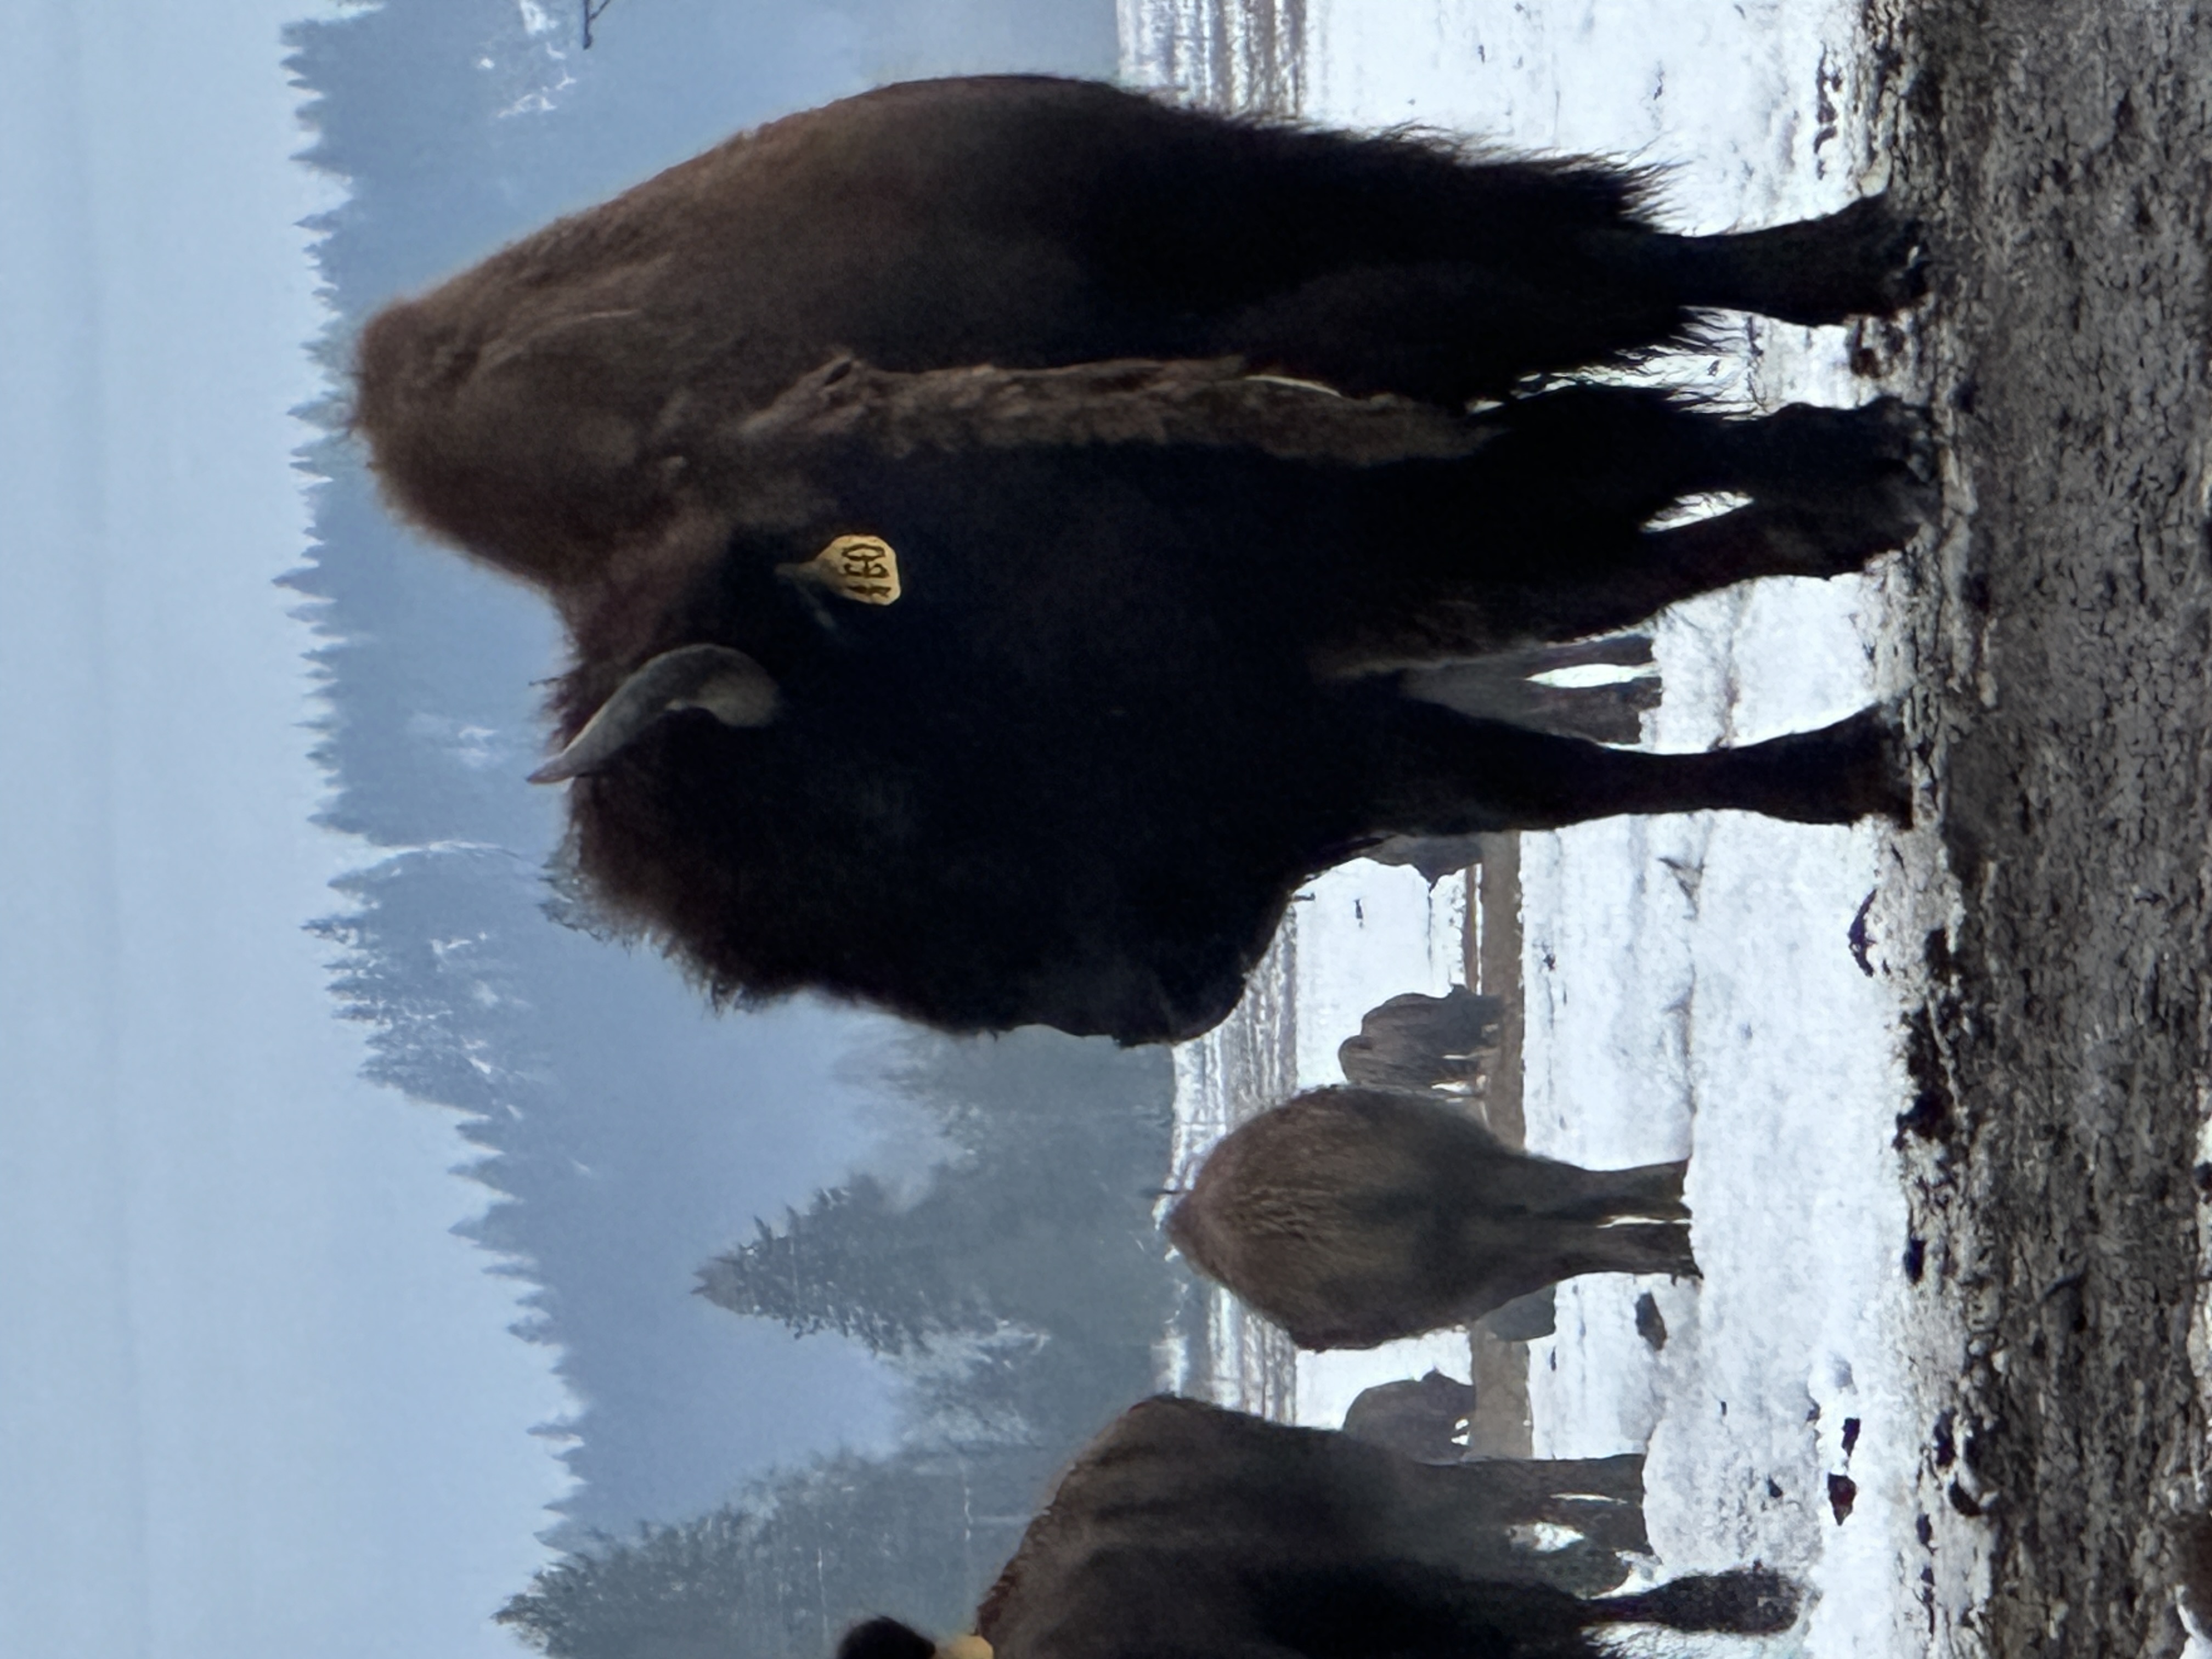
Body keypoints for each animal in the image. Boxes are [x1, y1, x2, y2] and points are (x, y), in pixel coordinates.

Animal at [354, 74, 1930, 1043]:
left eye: (871, 814)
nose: (1165, 1002)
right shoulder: (1298, 707)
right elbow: (1552, 764)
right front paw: (1853, 758)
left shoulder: (1376, 441)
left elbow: (1630, 440)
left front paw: (1867, 474)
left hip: (1322, 218)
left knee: (1616, 270)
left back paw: (1860, 261)